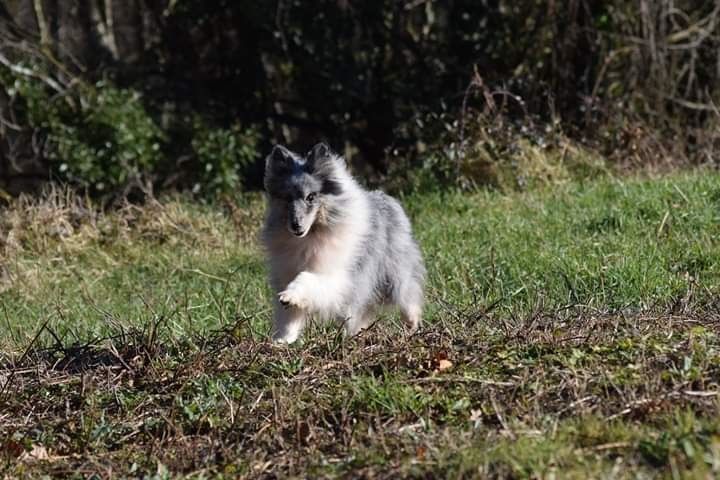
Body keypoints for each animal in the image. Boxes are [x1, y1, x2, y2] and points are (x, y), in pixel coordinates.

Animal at [262, 141, 424, 344]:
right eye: (287, 198)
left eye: (311, 197)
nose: (296, 225)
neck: (311, 236)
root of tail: (389, 200)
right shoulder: (285, 273)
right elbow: (289, 315)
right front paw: (282, 339)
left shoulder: (335, 276)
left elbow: (307, 280)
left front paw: (289, 296)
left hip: (393, 276)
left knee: (408, 296)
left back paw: (411, 325)